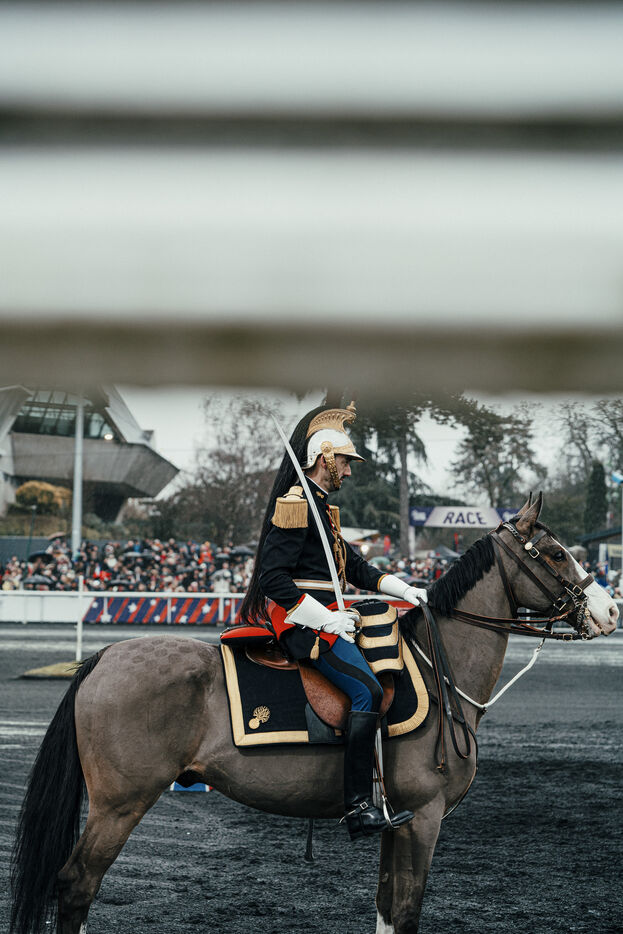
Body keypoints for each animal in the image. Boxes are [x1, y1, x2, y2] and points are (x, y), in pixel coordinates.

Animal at [10, 495, 618, 934]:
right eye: (555, 552)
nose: (609, 609)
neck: (436, 666)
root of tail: (104, 656)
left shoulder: (398, 821)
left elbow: (386, 910)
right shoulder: (423, 817)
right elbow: (407, 913)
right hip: (121, 804)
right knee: (76, 885)